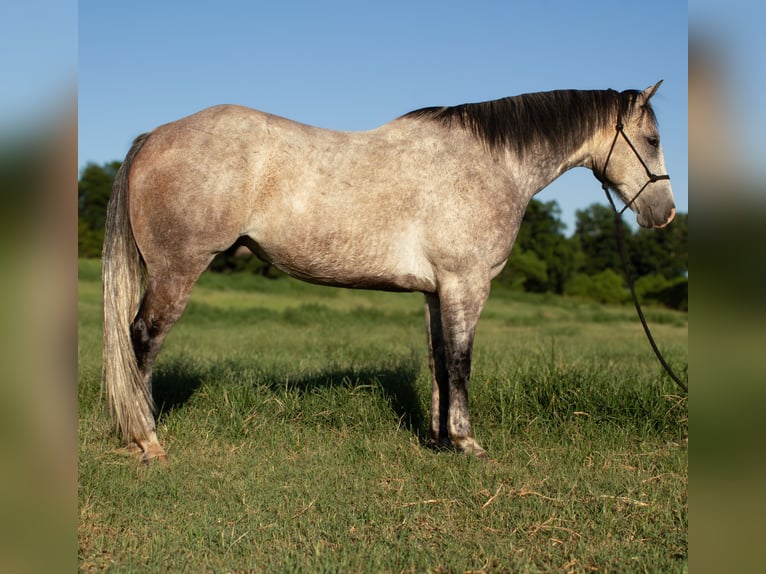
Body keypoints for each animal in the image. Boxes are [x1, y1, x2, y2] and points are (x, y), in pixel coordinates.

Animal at [102, 82, 675, 462]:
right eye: (651, 139)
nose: (665, 214)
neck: (490, 165)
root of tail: (156, 134)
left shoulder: (438, 291)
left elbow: (440, 362)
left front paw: (440, 439)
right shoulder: (467, 284)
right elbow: (462, 362)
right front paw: (467, 442)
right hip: (178, 270)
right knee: (142, 340)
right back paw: (146, 438)